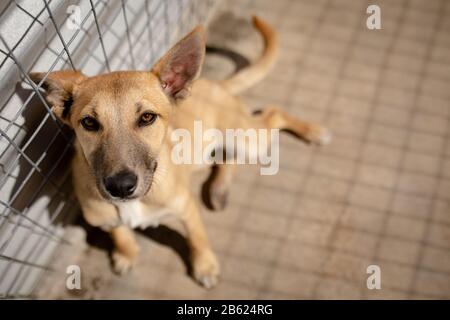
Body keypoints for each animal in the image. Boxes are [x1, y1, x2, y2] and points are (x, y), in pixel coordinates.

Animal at [29, 16, 330, 288]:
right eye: (89, 123)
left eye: (147, 117)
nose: (121, 186)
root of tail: (215, 85)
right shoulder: (103, 219)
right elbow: (120, 233)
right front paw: (126, 252)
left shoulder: (186, 208)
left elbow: (198, 238)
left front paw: (205, 265)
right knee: (227, 155)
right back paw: (219, 189)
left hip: (247, 139)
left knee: (273, 113)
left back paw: (313, 131)